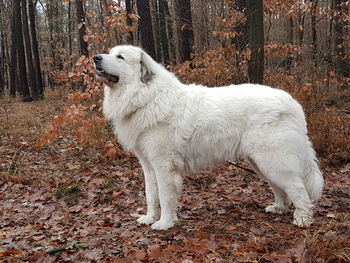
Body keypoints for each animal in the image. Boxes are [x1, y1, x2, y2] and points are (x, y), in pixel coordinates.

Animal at [93, 45, 322, 231]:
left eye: (120, 57)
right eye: (110, 53)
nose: (95, 58)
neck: (145, 96)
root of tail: (292, 102)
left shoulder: (164, 166)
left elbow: (165, 197)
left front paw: (164, 223)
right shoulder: (148, 166)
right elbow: (151, 195)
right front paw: (149, 218)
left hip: (273, 160)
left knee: (298, 190)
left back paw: (302, 219)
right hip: (260, 163)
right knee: (281, 188)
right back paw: (279, 208)